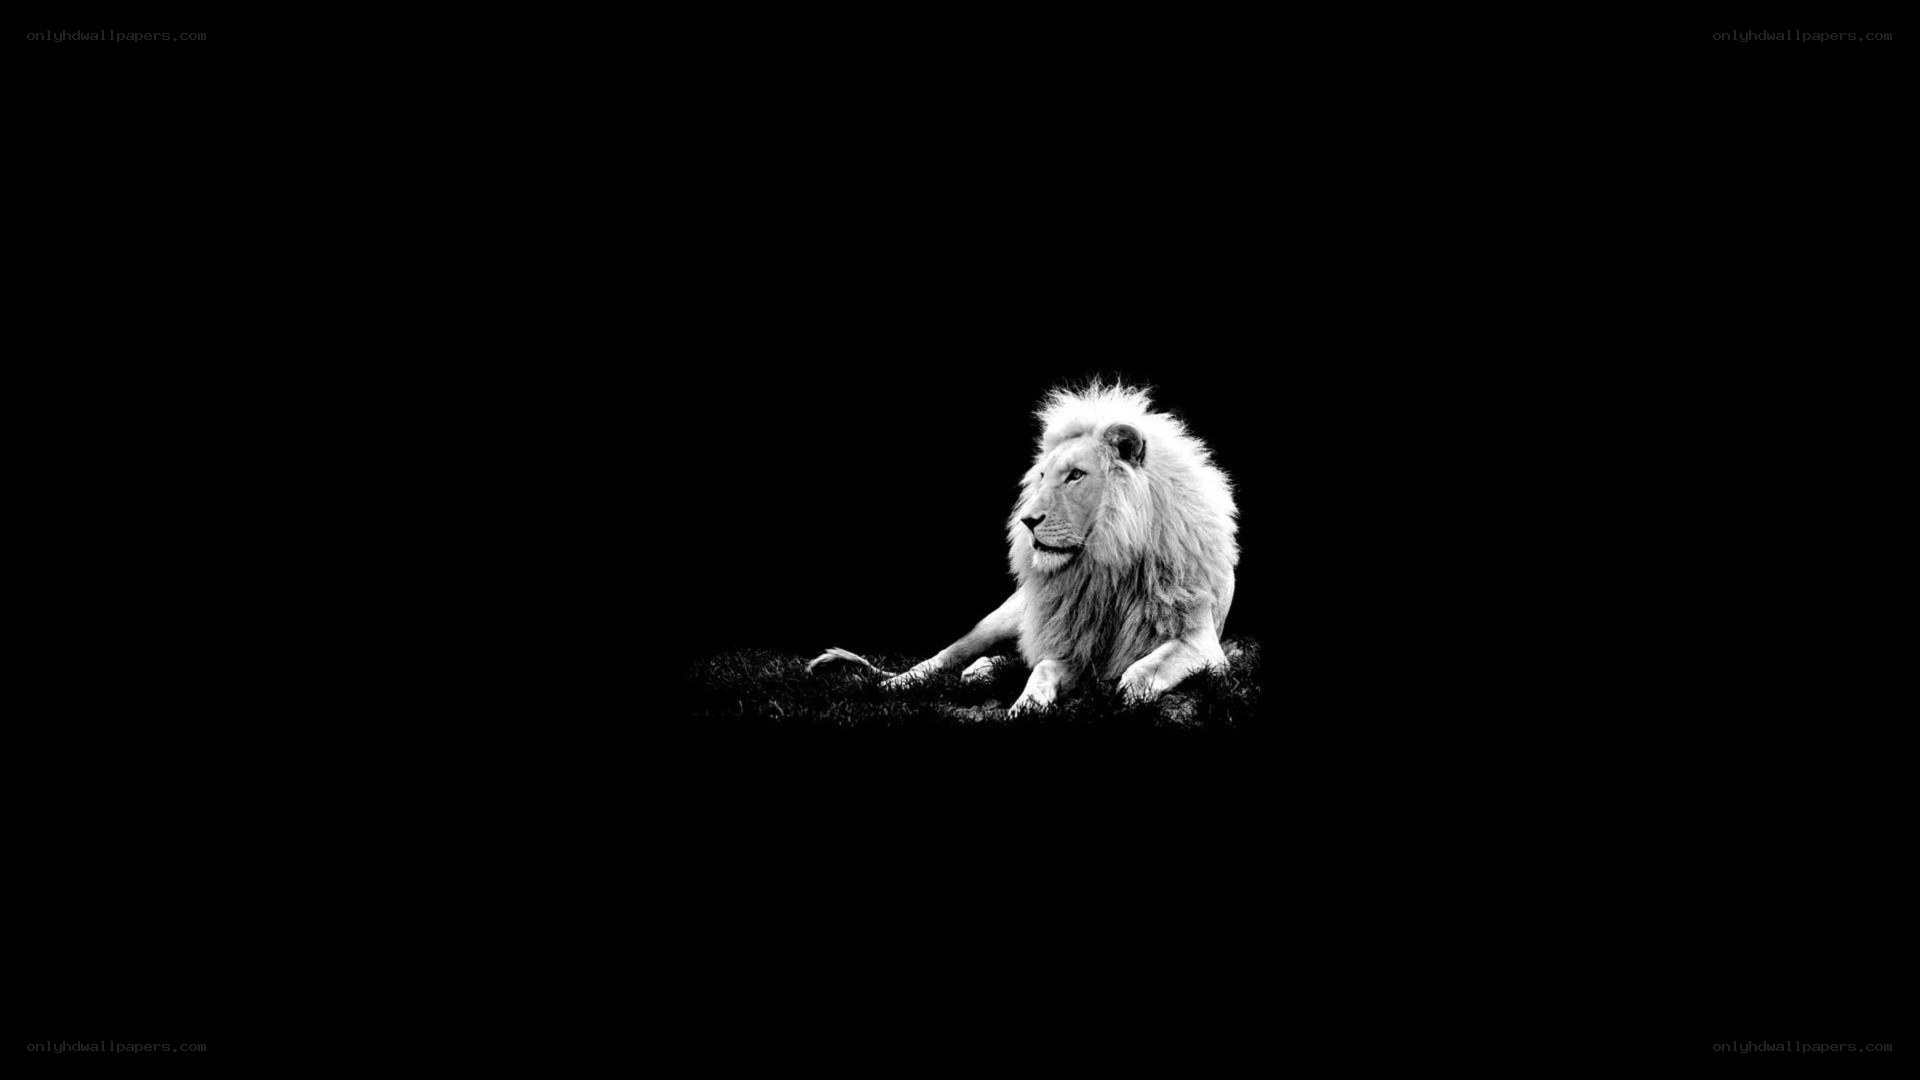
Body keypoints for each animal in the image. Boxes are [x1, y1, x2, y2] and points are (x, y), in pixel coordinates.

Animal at [807, 382, 1238, 716]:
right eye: (1043, 476)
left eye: (1076, 475)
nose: (1027, 521)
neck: (1108, 563)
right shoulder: (1070, 643)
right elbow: (1042, 668)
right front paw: (1027, 706)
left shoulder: (1201, 643)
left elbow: (1145, 667)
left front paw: (1128, 692)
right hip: (1000, 620)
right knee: (945, 657)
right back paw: (900, 684)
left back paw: (980, 671)